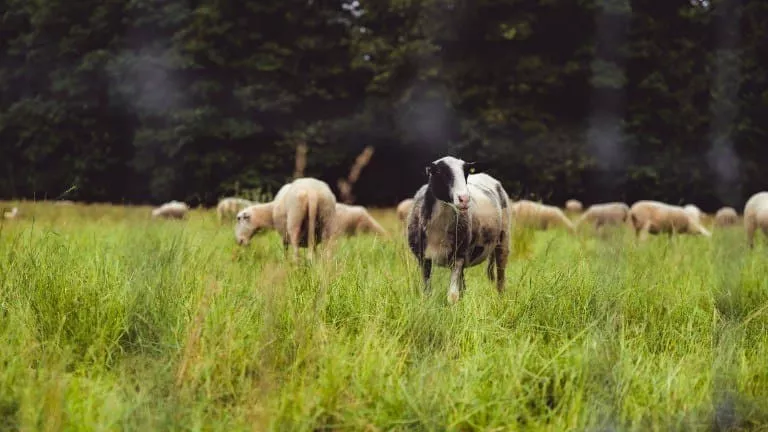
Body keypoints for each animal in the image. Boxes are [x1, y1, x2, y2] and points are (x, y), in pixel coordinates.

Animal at [408, 156, 510, 304]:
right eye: (439, 172)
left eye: (466, 172)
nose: (465, 199)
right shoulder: (423, 258)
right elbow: (427, 293)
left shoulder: (458, 256)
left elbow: (452, 296)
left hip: (503, 239)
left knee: (501, 278)